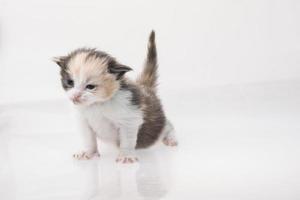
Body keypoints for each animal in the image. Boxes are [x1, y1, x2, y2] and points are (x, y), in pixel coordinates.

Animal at [54, 30, 177, 163]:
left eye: (90, 87)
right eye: (70, 82)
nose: (75, 96)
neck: (97, 104)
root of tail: (145, 87)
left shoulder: (130, 118)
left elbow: (127, 141)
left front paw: (126, 156)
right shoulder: (83, 121)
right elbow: (89, 140)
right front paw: (88, 153)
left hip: (155, 123)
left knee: (167, 126)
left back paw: (171, 138)